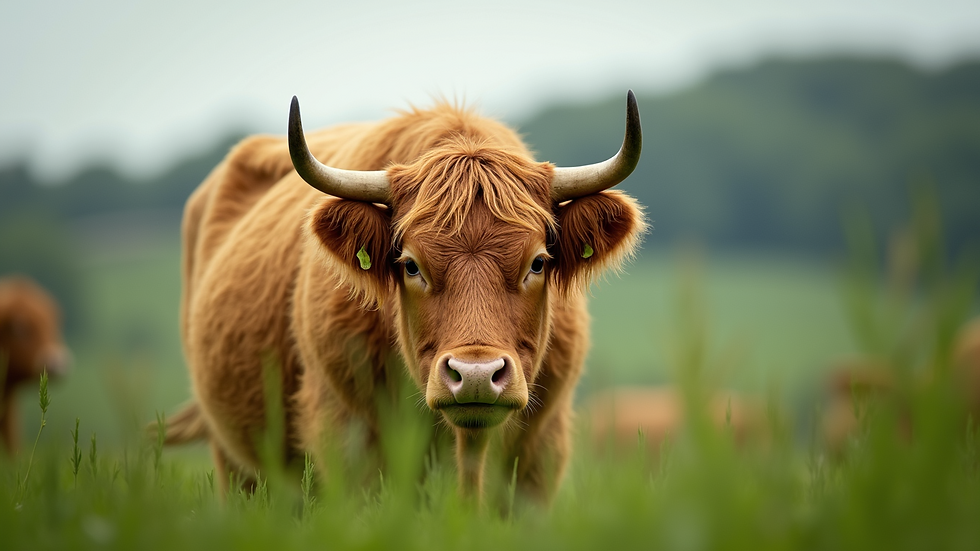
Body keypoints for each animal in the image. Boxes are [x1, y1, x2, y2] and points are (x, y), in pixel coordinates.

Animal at [161, 91, 645, 503]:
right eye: (411, 265)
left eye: (538, 263)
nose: (475, 375)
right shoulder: (344, 440)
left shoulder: (541, 456)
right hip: (237, 465)